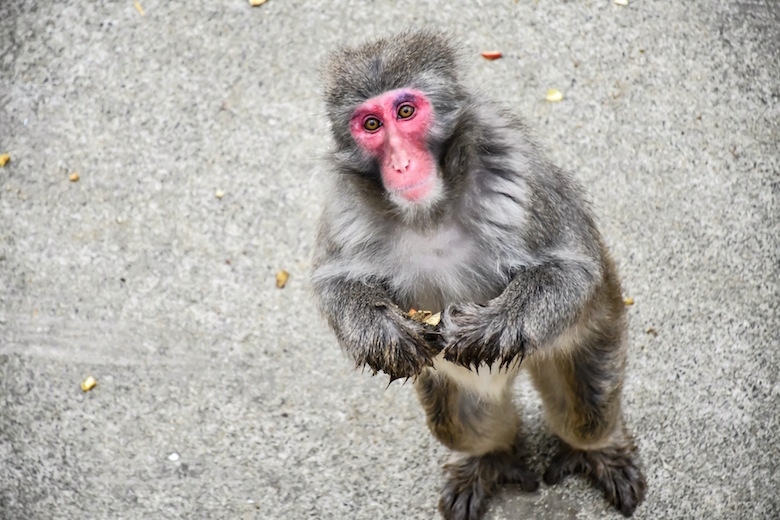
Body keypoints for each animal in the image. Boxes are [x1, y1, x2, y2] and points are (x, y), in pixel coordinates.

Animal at [310, 30, 644, 520]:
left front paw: (490, 328)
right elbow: (333, 283)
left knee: (590, 408)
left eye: (405, 112)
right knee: (461, 424)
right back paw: (491, 457)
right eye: (370, 125)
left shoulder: (516, 169)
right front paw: (384, 332)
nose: (400, 163)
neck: (430, 212)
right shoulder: (343, 207)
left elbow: (573, 267)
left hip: (597, 325)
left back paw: (601, 447)